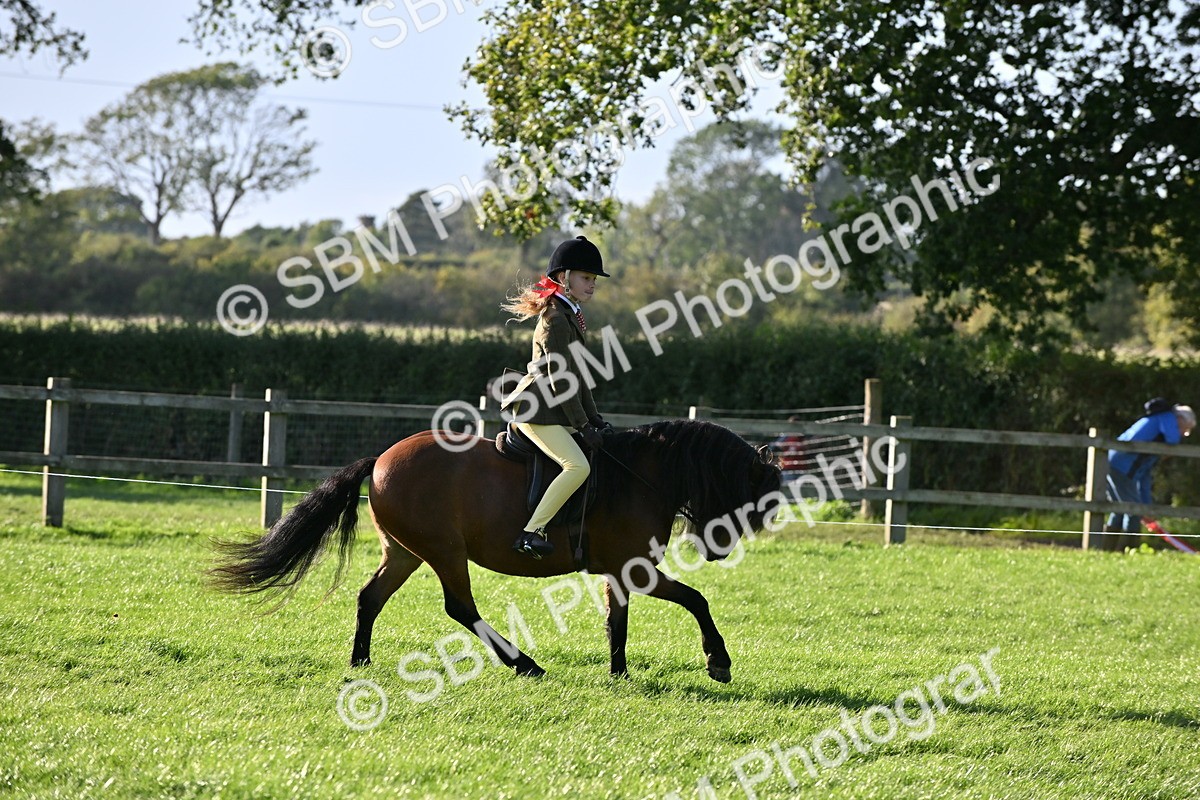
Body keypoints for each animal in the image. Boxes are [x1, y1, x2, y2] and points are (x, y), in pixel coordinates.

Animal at [209, 419, 783, 683]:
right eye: (749, 496)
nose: (719, 548)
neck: (640, 475)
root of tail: (381, 458)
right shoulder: (635, 568)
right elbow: (696, 601)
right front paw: (718, 662)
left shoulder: (620, 572)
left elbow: (616, 622)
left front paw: (618, 674)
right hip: (444, 550)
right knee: (459, 607)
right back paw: (524, 663)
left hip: (405, 552)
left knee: (370, 597)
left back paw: (361, 661)